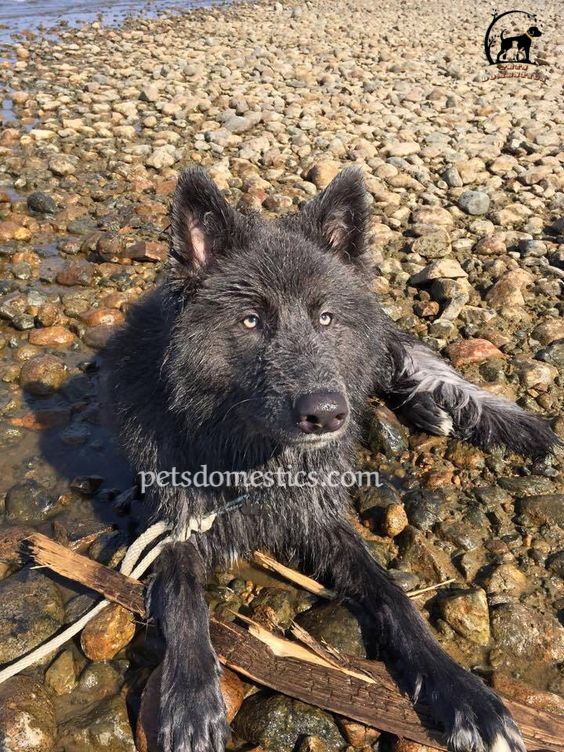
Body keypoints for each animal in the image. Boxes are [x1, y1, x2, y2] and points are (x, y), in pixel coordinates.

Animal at [103, 170, 556, 752]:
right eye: (250, 321)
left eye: (325, 317)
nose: (327, 414)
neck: (258, 461)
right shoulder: (174, 529)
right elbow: (185, 605)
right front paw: (190, 701)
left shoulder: (324, 522)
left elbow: (394, 597)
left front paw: (461, 689)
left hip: (373, 347)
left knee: (394, 363)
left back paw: (430, 408)